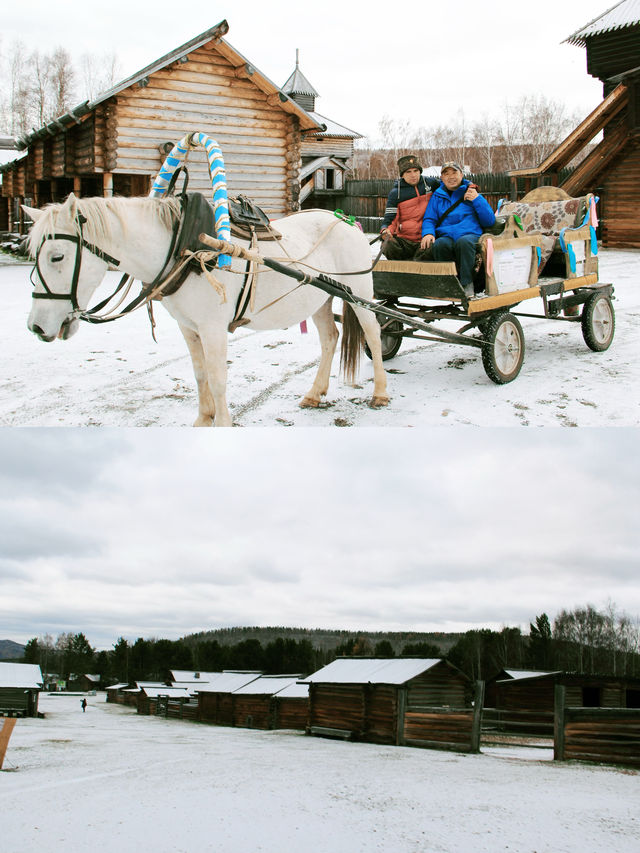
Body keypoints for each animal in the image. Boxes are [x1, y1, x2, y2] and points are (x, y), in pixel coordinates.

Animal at [25, 196, 388, 430]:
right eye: (33, 255)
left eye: (57, 256)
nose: (36, 327)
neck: (186, 247)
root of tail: (347, 221)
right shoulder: (189, 326)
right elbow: (200, 375)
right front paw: (203, 420)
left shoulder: (213, 327)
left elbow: (217, 378)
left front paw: (222, 423)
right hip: (320, 298)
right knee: (330, 338)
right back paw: (314, 393)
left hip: (359, 293)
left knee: (373, 333)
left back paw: (381, 393)